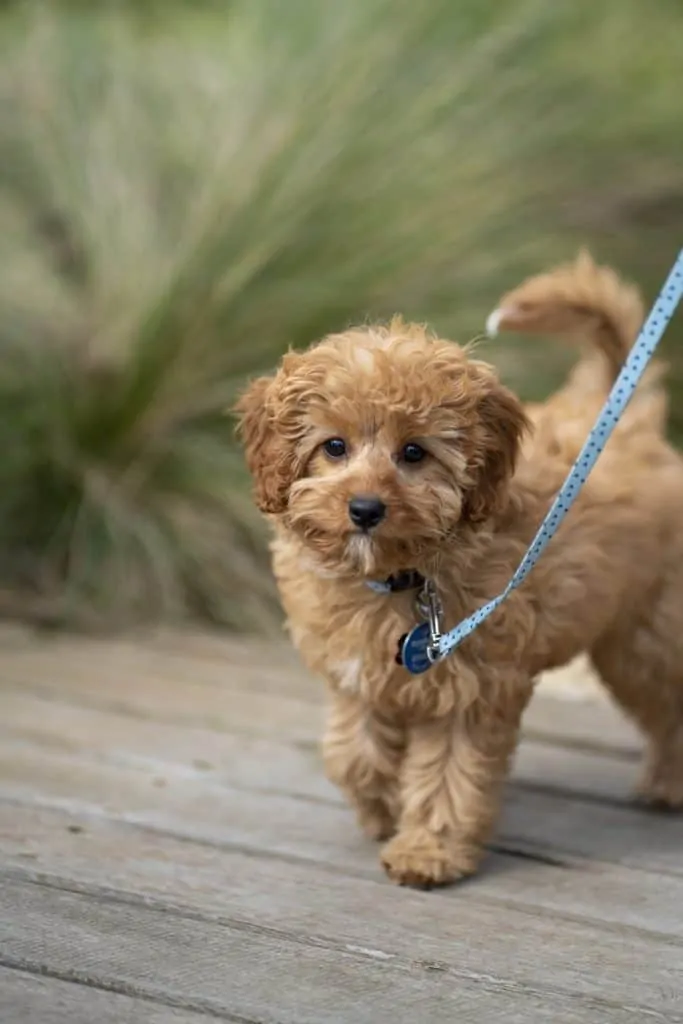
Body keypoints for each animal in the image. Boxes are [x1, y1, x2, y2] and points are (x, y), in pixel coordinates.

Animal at [236, 253, 683, 888]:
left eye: (414, 452)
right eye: (334, 446)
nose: (364, 508)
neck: (400, 577)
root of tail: (627, 420)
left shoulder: (471, 688)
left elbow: (449, 776)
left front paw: (428, 851)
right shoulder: (357, 676)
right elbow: (355, 755)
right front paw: (382, 807)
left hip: (642, 638)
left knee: (669, 704)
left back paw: (667, 782)